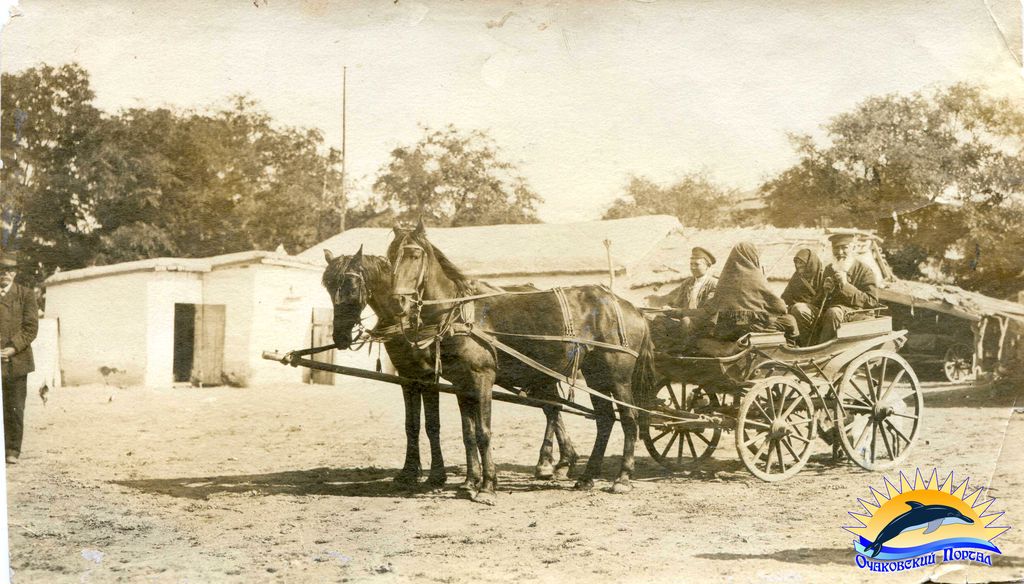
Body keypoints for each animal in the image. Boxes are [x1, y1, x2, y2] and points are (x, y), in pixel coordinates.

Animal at [319, 245, 581, 485]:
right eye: (328, 287)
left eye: (352, 287)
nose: (340, 336)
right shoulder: (408, 376)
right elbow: (411, 425)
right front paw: (409, 471)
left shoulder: (428, 376)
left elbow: (432, 424)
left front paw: (437, 474)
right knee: (552, 408)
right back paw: (563, 461)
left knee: (552, 409)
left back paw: (548, 463)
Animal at [387, 220, 659, 502]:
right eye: (389, 257)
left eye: (414, 255)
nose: (397, 301)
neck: (460, 314)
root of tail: (630, 307)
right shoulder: (461, 384)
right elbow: (468, 433)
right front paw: (470, 482)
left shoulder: (482, 378)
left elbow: (483, 432)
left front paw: (487, 486)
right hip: (596, 377)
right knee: (604, 420)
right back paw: (587, 477)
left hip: (618, 379)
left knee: (629, 419)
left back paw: (622, 478)